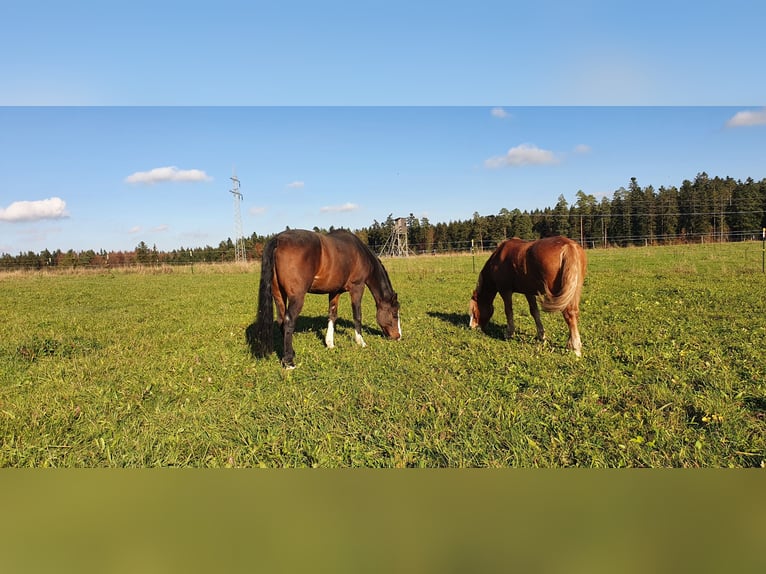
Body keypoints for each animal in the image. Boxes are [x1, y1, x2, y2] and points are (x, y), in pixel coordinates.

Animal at [254, 230, 408, 368]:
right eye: (394, 314)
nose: (398, 336)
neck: (360, 253)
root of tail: (278, 239)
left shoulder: (335, 291)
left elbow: (332, 315)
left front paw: (330, 343)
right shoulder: (357, 287)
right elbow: (357, 315)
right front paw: (361, 342)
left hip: (279, 294)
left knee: (281, 320)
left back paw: (291, 353)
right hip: (296, 298)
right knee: (288, 322)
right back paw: (289, 362)